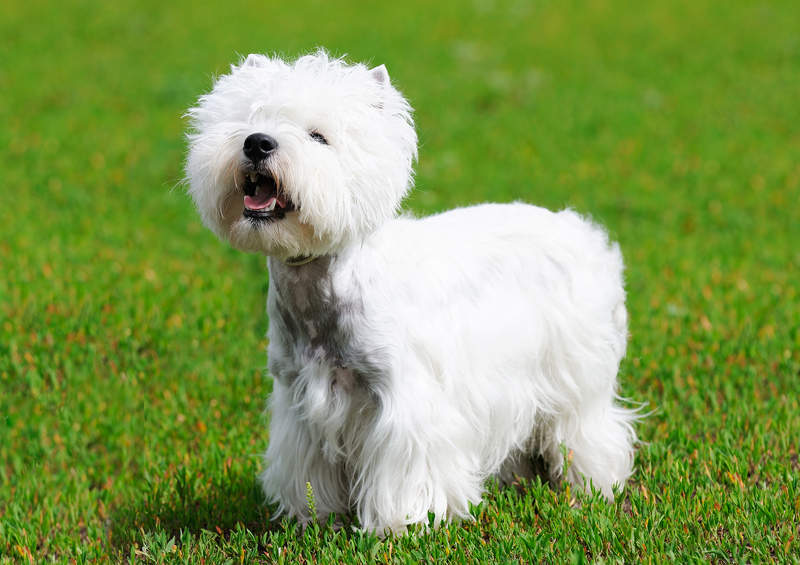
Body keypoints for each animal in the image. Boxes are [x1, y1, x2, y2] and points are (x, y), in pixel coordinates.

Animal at [186, 50, 636, 536]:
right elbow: (307, 467)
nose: (257, 144)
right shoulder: (297, 399)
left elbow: (404, 468)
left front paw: (398, 525)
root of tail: (583, 233)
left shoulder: (404, 402)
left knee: (589, 431)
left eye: (318, 136)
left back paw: (590, 490)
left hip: (574, 376)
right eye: (250, 120)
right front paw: (314, 518)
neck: (319, 290)